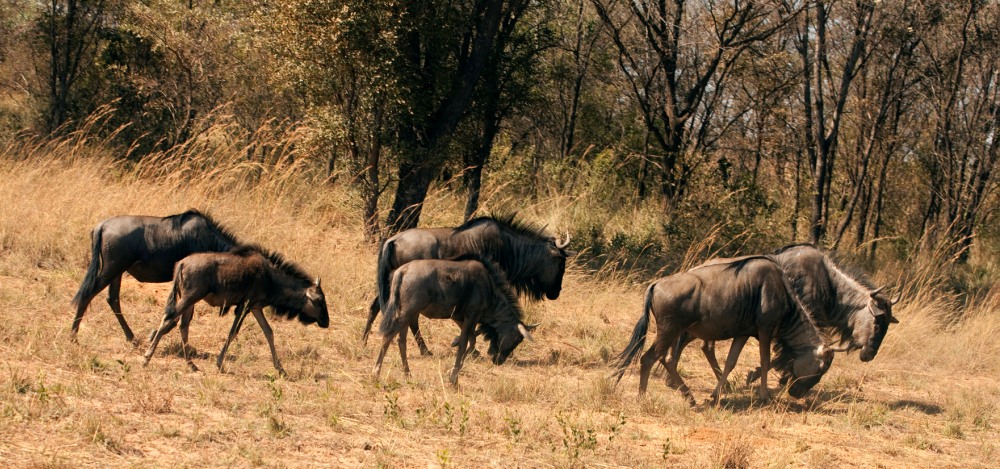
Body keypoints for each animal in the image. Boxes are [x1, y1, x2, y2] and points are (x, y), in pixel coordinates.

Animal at [143, 247, 328, 374]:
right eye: (319, 300)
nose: (326, 322)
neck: (271, 278)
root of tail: (181, 263)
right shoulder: (244, 306)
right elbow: (233, 332)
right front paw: (219, 363)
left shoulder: (255, 308)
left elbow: (269, 332)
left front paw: (280, 369)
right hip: (190, 298)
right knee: (168, 319)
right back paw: (147, 358)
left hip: (190, 301)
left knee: (183, 326)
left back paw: (191, 365)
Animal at [374, 256, 532, 384]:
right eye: (516, 340)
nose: (499, 361)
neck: (489, 289)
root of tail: (402, 271)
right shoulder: (471, 315)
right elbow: (464, 344)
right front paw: (453, 376)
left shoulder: (459, 317)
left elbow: (471, 341)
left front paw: (453, 370)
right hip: (408, 313)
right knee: (388, 336)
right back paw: (376, 372)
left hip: (406, 314)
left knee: (401, 341)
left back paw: (407, 374)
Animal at [612, 254, 832, 404]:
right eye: (819, 371)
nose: (797, 393)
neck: (783, 294)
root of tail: (656, 284)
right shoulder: (765, 331)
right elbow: (764, 360)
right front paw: (764, 396)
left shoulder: (743, 334)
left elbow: (730, 362)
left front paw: (716, 394)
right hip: (669, 332)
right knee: (649, 358)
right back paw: (643, 397)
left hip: (674, 333)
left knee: (667, 360)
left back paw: (690, 397)